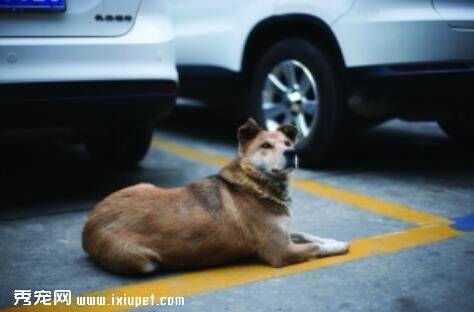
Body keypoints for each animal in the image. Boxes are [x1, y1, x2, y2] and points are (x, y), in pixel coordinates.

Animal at [82, 118, 348, 274]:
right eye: (266, 146)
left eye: (287, 143)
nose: (291, 153)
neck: (256, 184)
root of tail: (87, 228)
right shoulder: (281, 251)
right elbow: (313, 246)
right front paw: (338, 246)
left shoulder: (284, 234)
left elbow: (308, 234)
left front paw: (332, 240)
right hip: (144, 261)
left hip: (143, 185)